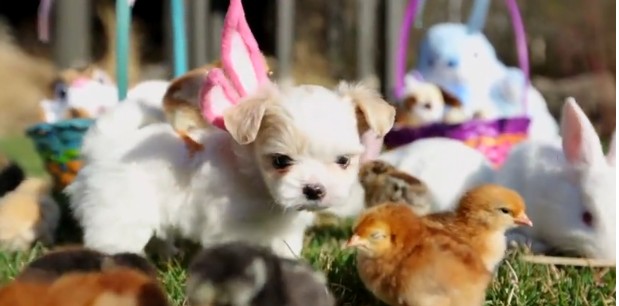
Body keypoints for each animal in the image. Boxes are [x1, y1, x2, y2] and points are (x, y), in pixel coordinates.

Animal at [65, 81, 394, 258]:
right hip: (118, 218)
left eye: (343, 161)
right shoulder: (231, 228)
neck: (258, 185)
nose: (313, 190)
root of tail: (106, 144)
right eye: (280, 161)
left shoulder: (285, 232)